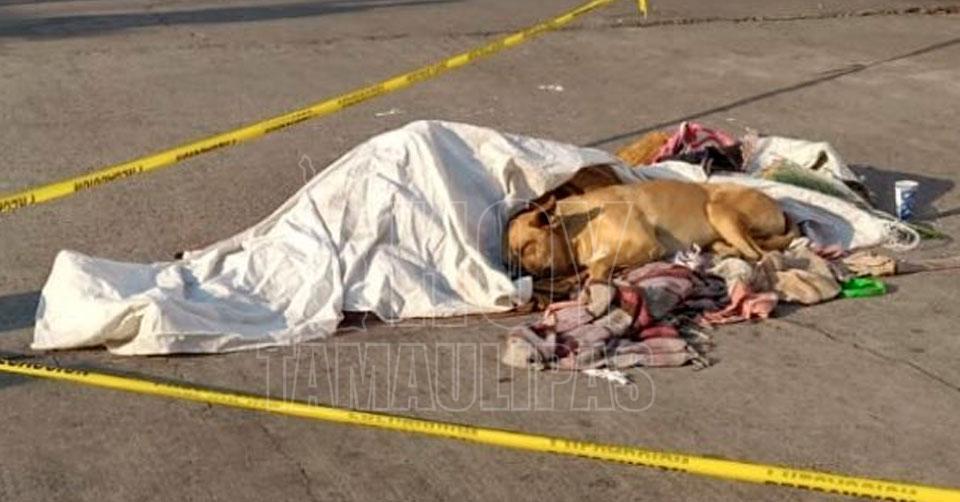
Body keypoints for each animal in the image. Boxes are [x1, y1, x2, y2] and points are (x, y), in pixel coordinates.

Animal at [505, 179, 797, 282]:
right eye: (510, 259)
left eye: (526, 247)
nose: (515, 274)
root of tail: (780, 208)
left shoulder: (644, 244)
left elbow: (599, 265)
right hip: (719, 233)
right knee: (747, 249)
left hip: (718, 210)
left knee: (758, 254)